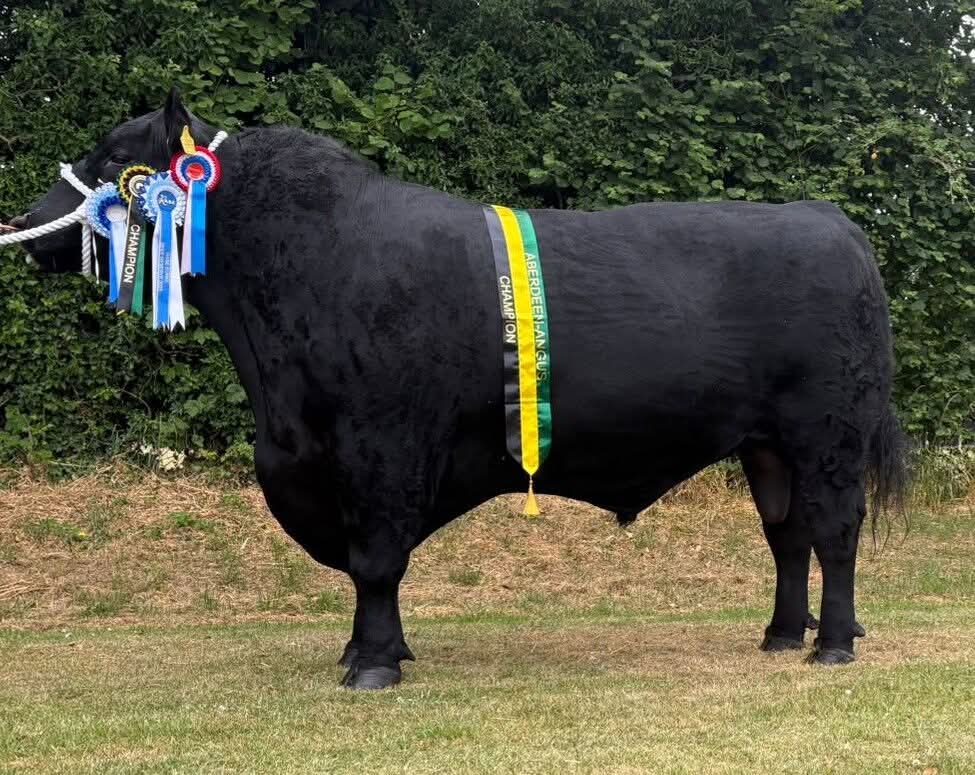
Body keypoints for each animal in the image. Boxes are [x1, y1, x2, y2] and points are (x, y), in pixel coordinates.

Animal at [6, 91, 906, 689]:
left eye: (109, 159)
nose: (20, 225)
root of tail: (826, 217)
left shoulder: (381, 441)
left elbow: (374, 558)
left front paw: (371, 664)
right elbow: (367, 563)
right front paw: (366, 649)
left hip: (827, 431)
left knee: (833, 531)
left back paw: (831, 643)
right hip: (767, 446)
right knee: (787, 536)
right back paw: (780, 635)